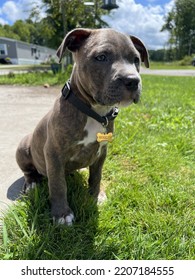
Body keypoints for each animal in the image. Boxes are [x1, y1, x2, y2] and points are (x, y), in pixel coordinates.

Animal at [16, 28, 149, 225]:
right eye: (101, 57)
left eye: (136, 60)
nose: (133, 81)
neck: (95, 112)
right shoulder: (53, 153)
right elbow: (58, 185)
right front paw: (62, 214)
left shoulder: (102, 152)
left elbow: (96, 175)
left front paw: (96, 196)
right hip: (23, 147)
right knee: (29, 171)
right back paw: (32, 182)